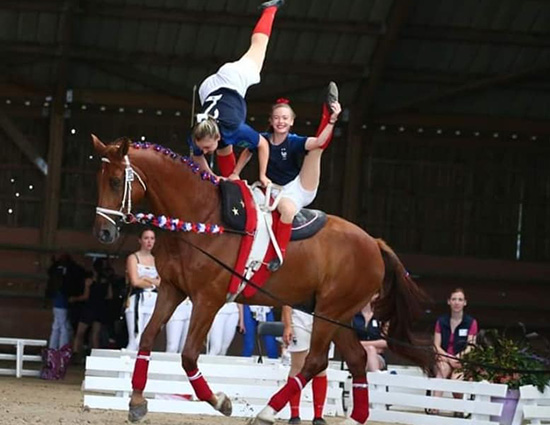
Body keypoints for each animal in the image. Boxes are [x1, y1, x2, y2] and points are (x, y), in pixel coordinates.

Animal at [94, 136, 432, 424]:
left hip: (330, 311)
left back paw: (267, 412)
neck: (201, 217)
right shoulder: (172, 289)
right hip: (338, 315)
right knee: (357, 358)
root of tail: (374, 243)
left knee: (315, 361)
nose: (104, 233)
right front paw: (137, 402)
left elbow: (189, 356)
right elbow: (147, 339)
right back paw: (352, 418)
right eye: (100, 180)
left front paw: (220, 401)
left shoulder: (208, 299)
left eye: (116, 181)